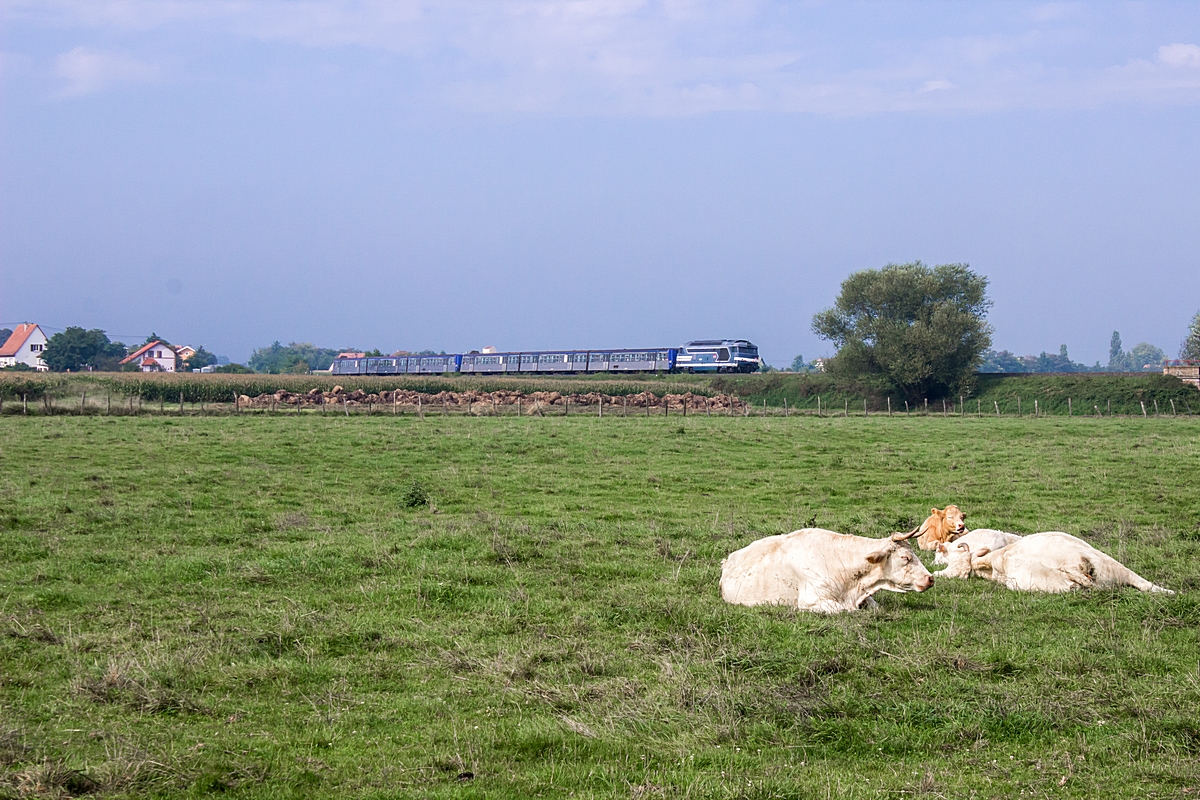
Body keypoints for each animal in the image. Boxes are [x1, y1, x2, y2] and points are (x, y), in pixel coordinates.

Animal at [715, 527, 931, 618]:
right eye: (905, 557)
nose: (930, 579)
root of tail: (727, 560)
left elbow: (876, 607)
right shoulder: (812, 599)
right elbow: (844, 610)